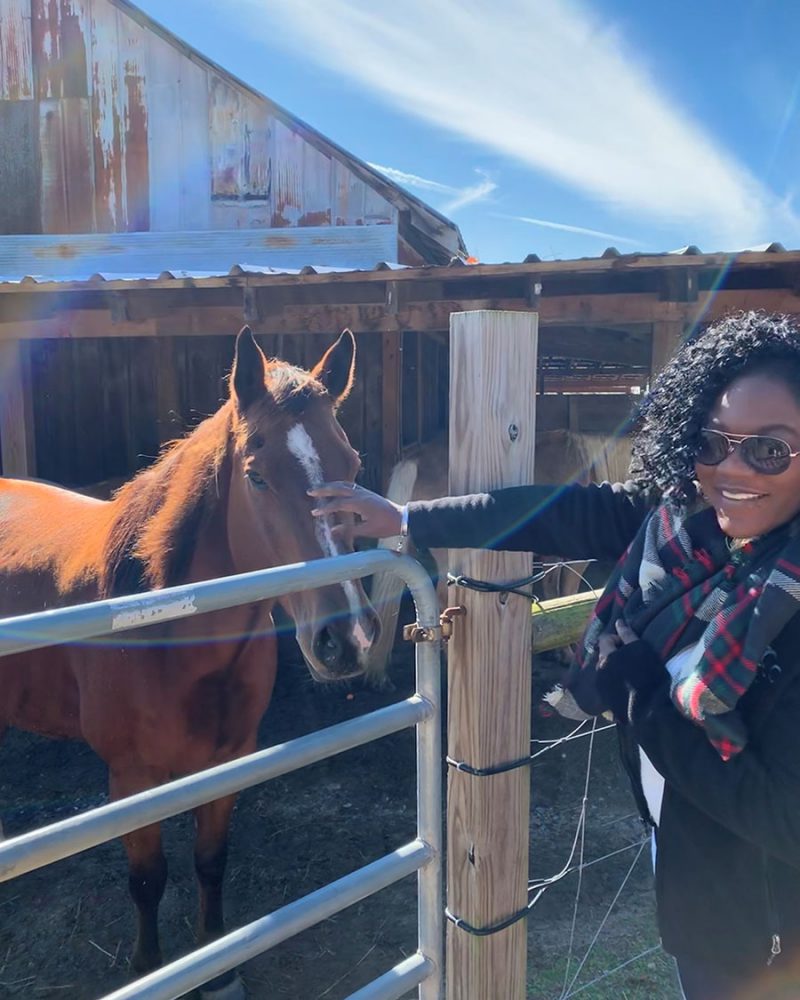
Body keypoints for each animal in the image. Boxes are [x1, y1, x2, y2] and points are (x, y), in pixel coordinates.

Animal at [0, 326, 380, 992]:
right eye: (256, 477)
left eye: (352, 468)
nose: (349, 638)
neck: (168, 635)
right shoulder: (132, 779)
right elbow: (147, 880)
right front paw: (149, 968)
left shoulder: (229, 759)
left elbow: (210, 860)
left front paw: (216, 965)